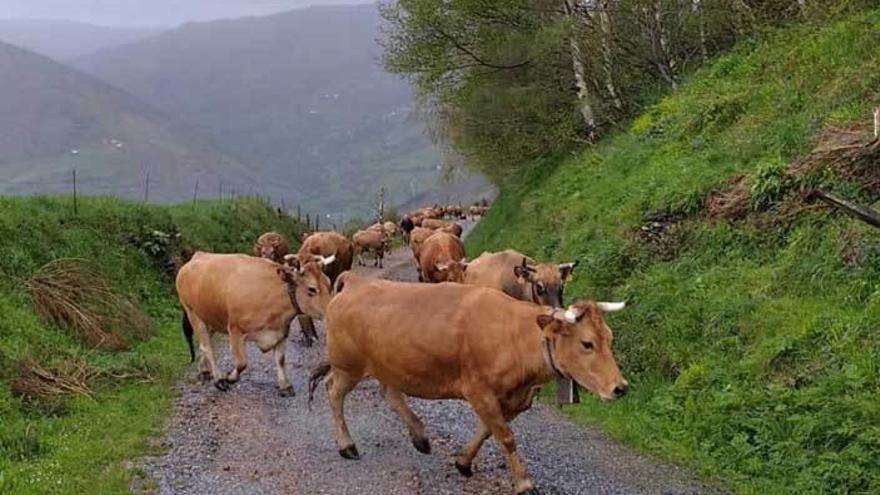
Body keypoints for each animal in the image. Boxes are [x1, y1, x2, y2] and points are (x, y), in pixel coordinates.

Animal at [177, 254, 336, 398]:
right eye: (312, 289)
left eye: (329, 284)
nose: (331, 310)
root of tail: (198, 255)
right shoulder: (235, 330)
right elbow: (241, 363)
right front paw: (229, 377)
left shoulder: (281, 331)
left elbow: (281, 359)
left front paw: (285, 386)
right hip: (193, 314)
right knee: (207, 347)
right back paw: (219, 379)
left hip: (209, 317)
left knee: (204, 343)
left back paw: (204, 371)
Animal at [310, 278, 624, 494]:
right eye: (587, 343)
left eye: (609, 337)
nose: (621, 387)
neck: (516, 336)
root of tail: (356, 281)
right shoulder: (479, 391)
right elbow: (506, 437)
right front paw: (523, 482)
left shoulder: (512, 399)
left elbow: (488, 430)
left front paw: (463, 461)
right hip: (348, 367)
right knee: (333, 392)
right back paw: (347, 445)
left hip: (388, 366)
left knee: (389, 393)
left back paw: (420, 437)